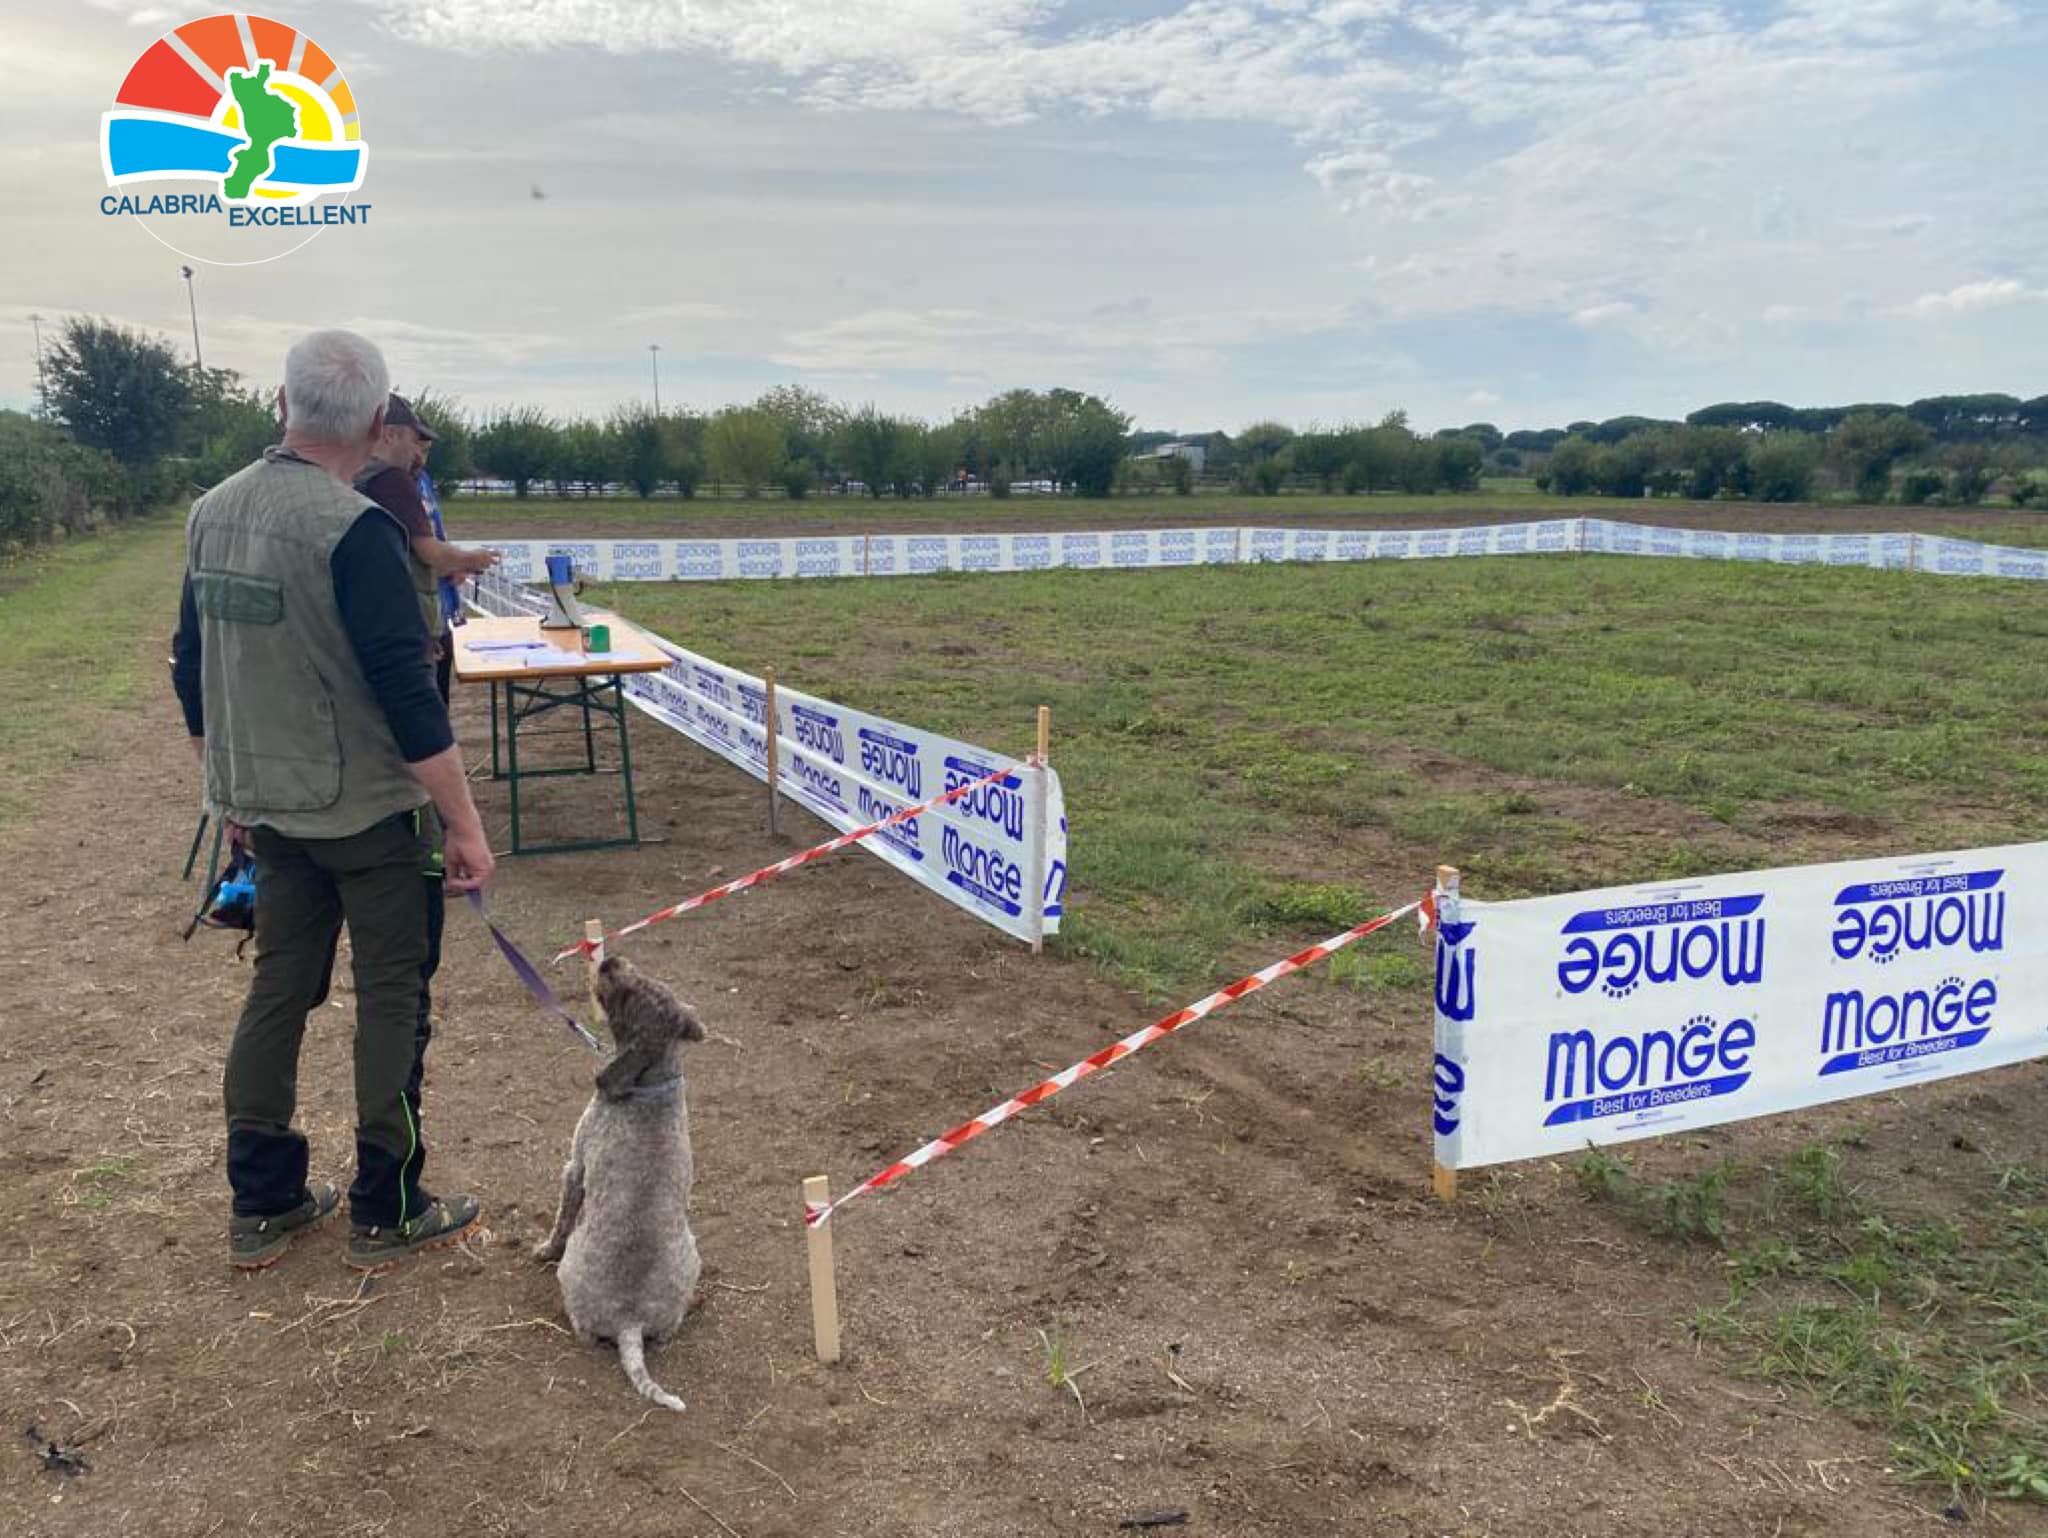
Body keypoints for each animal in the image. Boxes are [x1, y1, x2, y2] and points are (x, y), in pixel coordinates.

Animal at [536, 958, 704, 1417]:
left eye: (627, 996)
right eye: (649, 979)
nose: (610, 961)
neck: (648, 1084)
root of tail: (630, 1321)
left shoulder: (574, 1168)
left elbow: (560, 1221)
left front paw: (543, 1248)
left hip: (573, 1280)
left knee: (585, 1334)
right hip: (689, 1263)